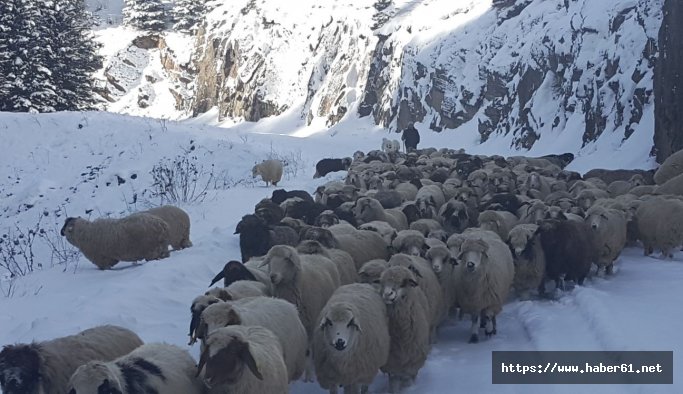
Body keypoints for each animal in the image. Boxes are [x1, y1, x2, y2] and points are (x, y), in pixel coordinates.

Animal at [376, 264, 430, 394]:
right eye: (382, 282)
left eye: (403, 283)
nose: (387, 294)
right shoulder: (392, 364)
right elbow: (394, 383)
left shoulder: (413, 362)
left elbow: (408, 381)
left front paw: (410, 388)